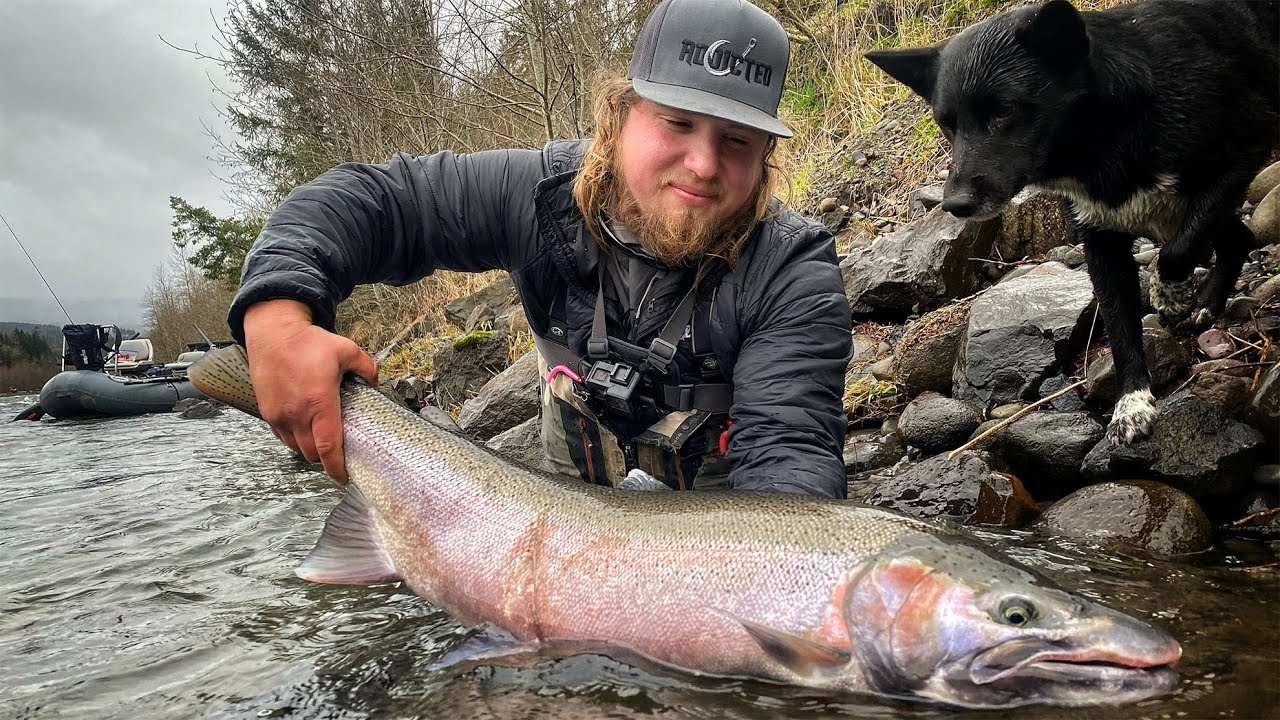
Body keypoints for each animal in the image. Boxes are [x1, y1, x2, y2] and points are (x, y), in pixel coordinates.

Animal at [865, 0, 1274, 443]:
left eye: (1004, 110)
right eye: (947, 123)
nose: (955, 204)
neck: (1106, 133)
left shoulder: (1245, 153)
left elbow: (1176, 253)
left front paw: (1169, 293)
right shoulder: (1101, 243)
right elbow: (1120, 329)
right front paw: (1131, 404)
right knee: (1239, 237)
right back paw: (1209, 304)